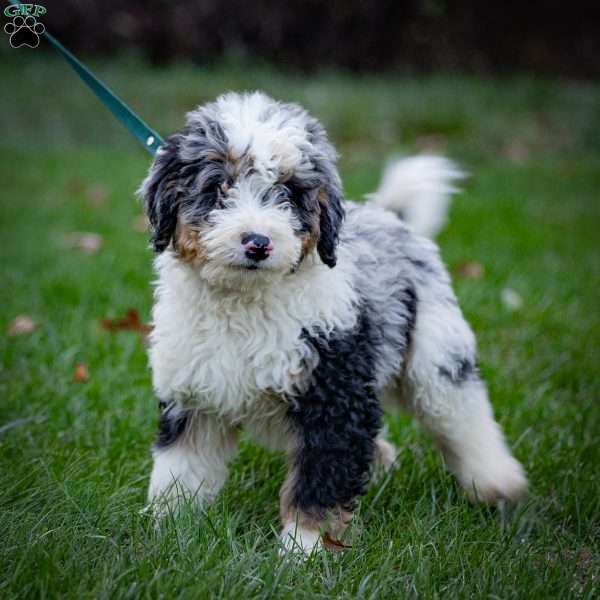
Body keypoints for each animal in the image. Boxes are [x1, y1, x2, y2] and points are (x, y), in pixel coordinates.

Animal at [138, 91, 528, 556]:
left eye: (288, 193)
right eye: (217, 188)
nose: (258, 243)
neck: (245, 302)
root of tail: (387, 215)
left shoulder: (334, 394)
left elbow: (319, 482)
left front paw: (302, 550)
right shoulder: (194, 395)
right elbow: (181, 466)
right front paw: (167, 526)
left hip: (435, 348)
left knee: (461, 412)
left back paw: (495, 482)